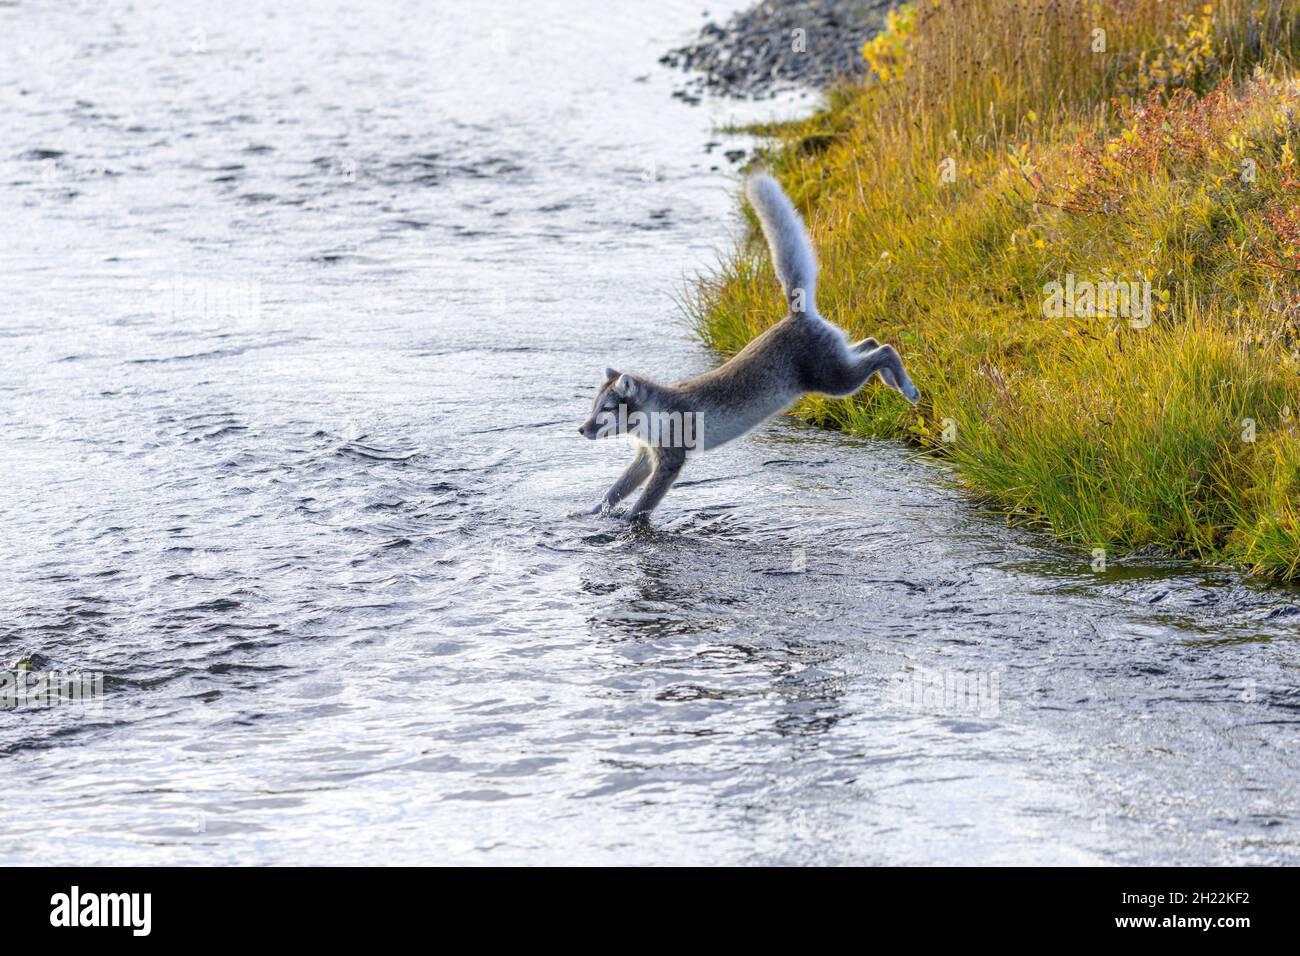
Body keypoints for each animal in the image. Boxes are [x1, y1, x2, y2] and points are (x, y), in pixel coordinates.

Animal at [578, 172, 920, 521]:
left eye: (607, 409)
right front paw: (591, 512)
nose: (581, 429)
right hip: (836, 363)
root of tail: (796, 314)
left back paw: (906, 387)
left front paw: (629, 520)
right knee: (869, 342)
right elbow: (615, 489)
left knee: (885, 349)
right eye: (594, 406)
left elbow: (644, 502)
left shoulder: (670, 459)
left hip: (834, 380)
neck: (652, 417)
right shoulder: (646, 456)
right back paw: (890, 380)